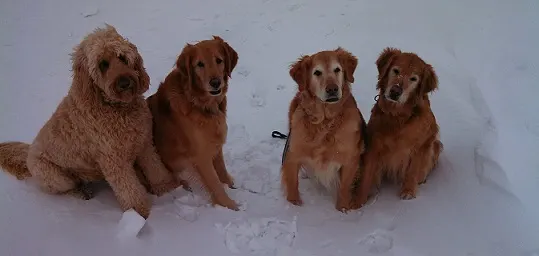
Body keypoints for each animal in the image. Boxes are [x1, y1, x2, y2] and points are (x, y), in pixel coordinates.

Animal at [0, 25, 178, 219]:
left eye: (122, 57)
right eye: (103, 64)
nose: (125, 82)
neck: (117, 108)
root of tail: (28, 154)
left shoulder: (144, 143)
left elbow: (156, 168)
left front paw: (167, 188)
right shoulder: (114, 161)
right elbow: (128, 189)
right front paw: (137, 214)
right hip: (54, 175)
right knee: (65, 188)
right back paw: (80, 193)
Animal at [148, 36, 240, 211]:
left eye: (219, 60)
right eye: (199, 64)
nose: (215, 83)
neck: (199, 103)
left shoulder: (215, 144)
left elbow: (221, 169)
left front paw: (231, 185)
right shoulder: (201, 156)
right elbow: (215, 183)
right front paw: (230, 206)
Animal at [280, 48, 370, 212]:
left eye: (337, 69)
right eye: (317, 72)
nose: (332, 89)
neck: (325, 121)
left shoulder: (350, 159)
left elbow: (344, 188)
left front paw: (342, 210)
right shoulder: (292, 154)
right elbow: (292, 185)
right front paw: (294, 206)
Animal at [354, 46, 442, 206]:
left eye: (414, 79)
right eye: (396, 70)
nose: (395, 92)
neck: (397, 116)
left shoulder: (422, 144)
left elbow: (413, 170)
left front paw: (408, 191)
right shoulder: (374, 144)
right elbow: (366, 176)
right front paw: (358, 201)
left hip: (436, 144)